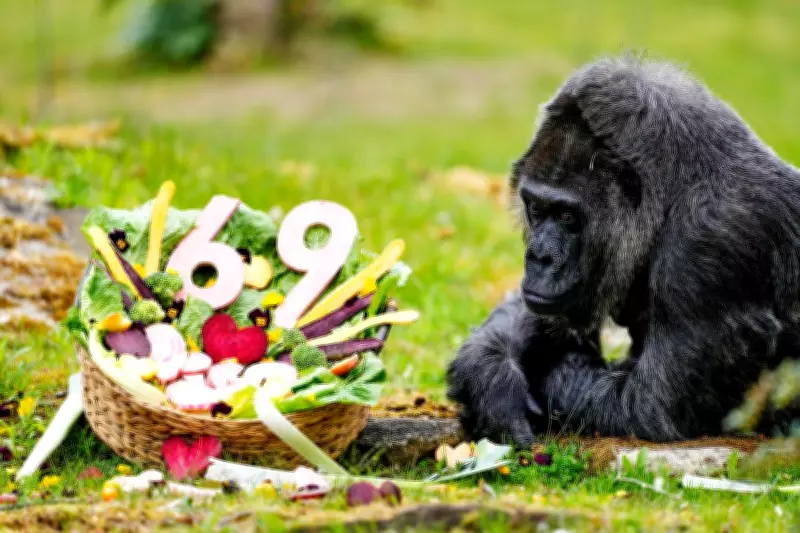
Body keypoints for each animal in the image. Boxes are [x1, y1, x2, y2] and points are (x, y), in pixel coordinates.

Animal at [447, 56, 800, 446]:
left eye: (568, 216)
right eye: (536, 208)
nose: (539, 257)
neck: (676, 193)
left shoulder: (716, 237)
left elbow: (649, 407)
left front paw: (548, 374)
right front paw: (493, 377)